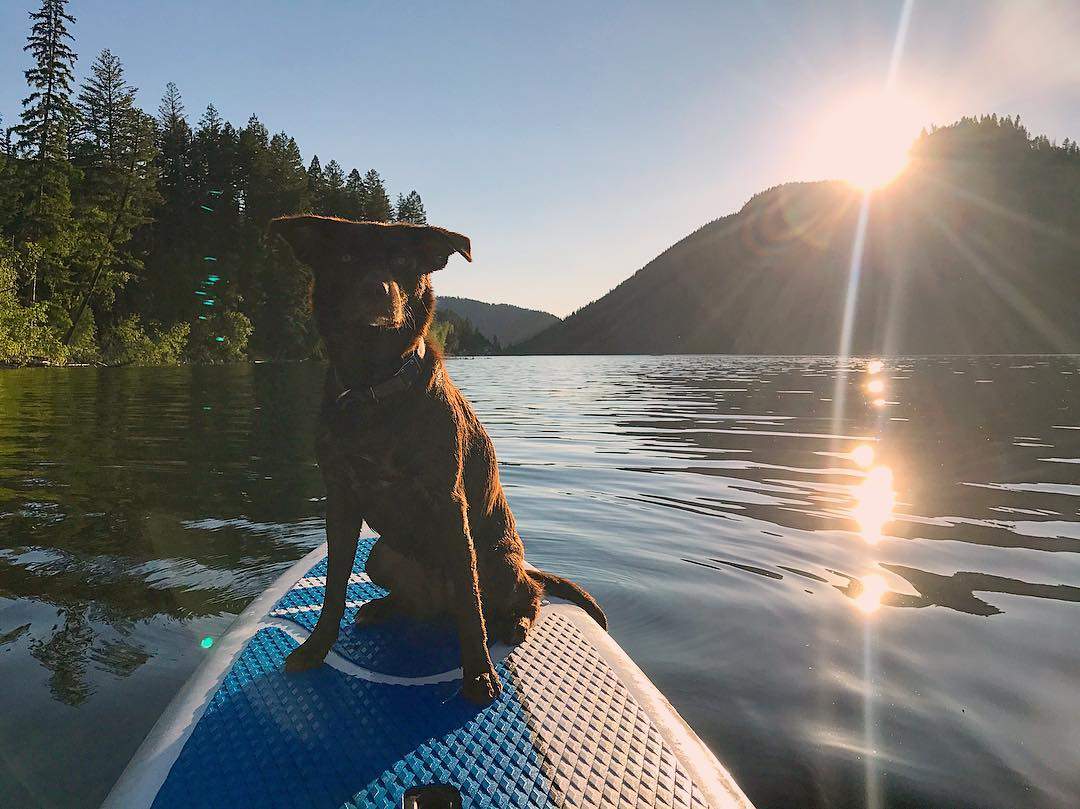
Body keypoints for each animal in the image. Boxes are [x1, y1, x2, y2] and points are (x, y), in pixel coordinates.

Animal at [267, 218, 609, 704]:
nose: (376, 289)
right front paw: (316, 647)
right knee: (415, 602)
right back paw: (383, 606)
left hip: (498, 563)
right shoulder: (341, 501)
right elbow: (333, 588)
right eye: (346, 257)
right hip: (382, 557)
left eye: (402, 259)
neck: (374, 388)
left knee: (529, 590)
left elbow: (470, 599)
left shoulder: (448, 502)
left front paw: (479, 672)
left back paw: (517, 620)